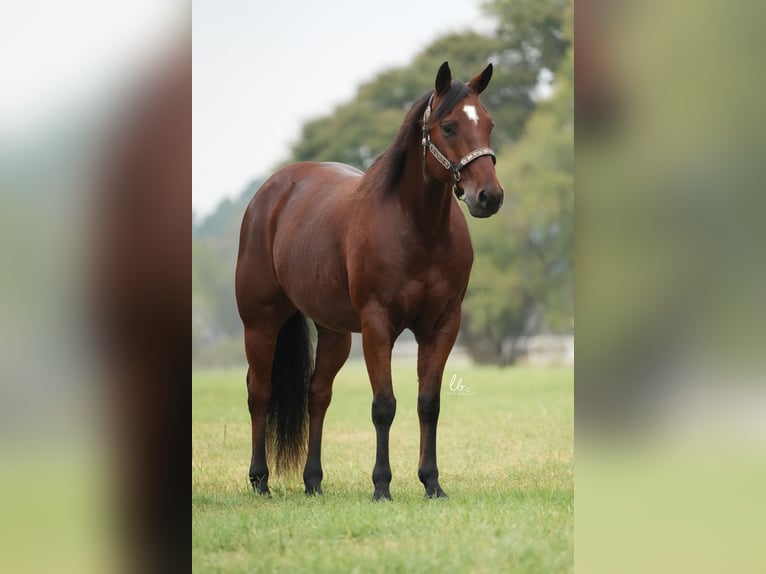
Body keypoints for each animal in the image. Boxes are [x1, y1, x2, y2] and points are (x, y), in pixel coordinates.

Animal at [237, 59, 508, 500]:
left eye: (488, 123)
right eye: (449, 126)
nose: (489, 196)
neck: (418, 229)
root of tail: (273, 190)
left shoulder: (443, 325)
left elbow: (428, 403)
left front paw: (432, 483)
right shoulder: (378, 325)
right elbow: (384, 405)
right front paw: (382, 485)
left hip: (334, 333)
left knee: (318, 395)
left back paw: (313, 481)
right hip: (260, 322)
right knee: (259, 392)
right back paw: (260, 480)